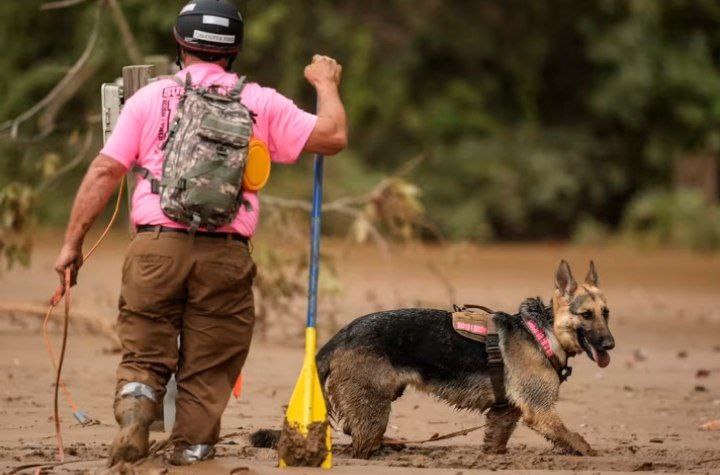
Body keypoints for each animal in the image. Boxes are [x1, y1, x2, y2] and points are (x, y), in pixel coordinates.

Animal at [310, 260, 612, 458]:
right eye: (586, 315)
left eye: (606, 313)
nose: (610, 344)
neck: (542, 332)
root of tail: (341, 336)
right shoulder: (540, 412)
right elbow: (576, 439)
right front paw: (592, 453)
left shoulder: (505, 412)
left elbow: (496, 441)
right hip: (374, 408)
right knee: (361, 445)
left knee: (351, 430)